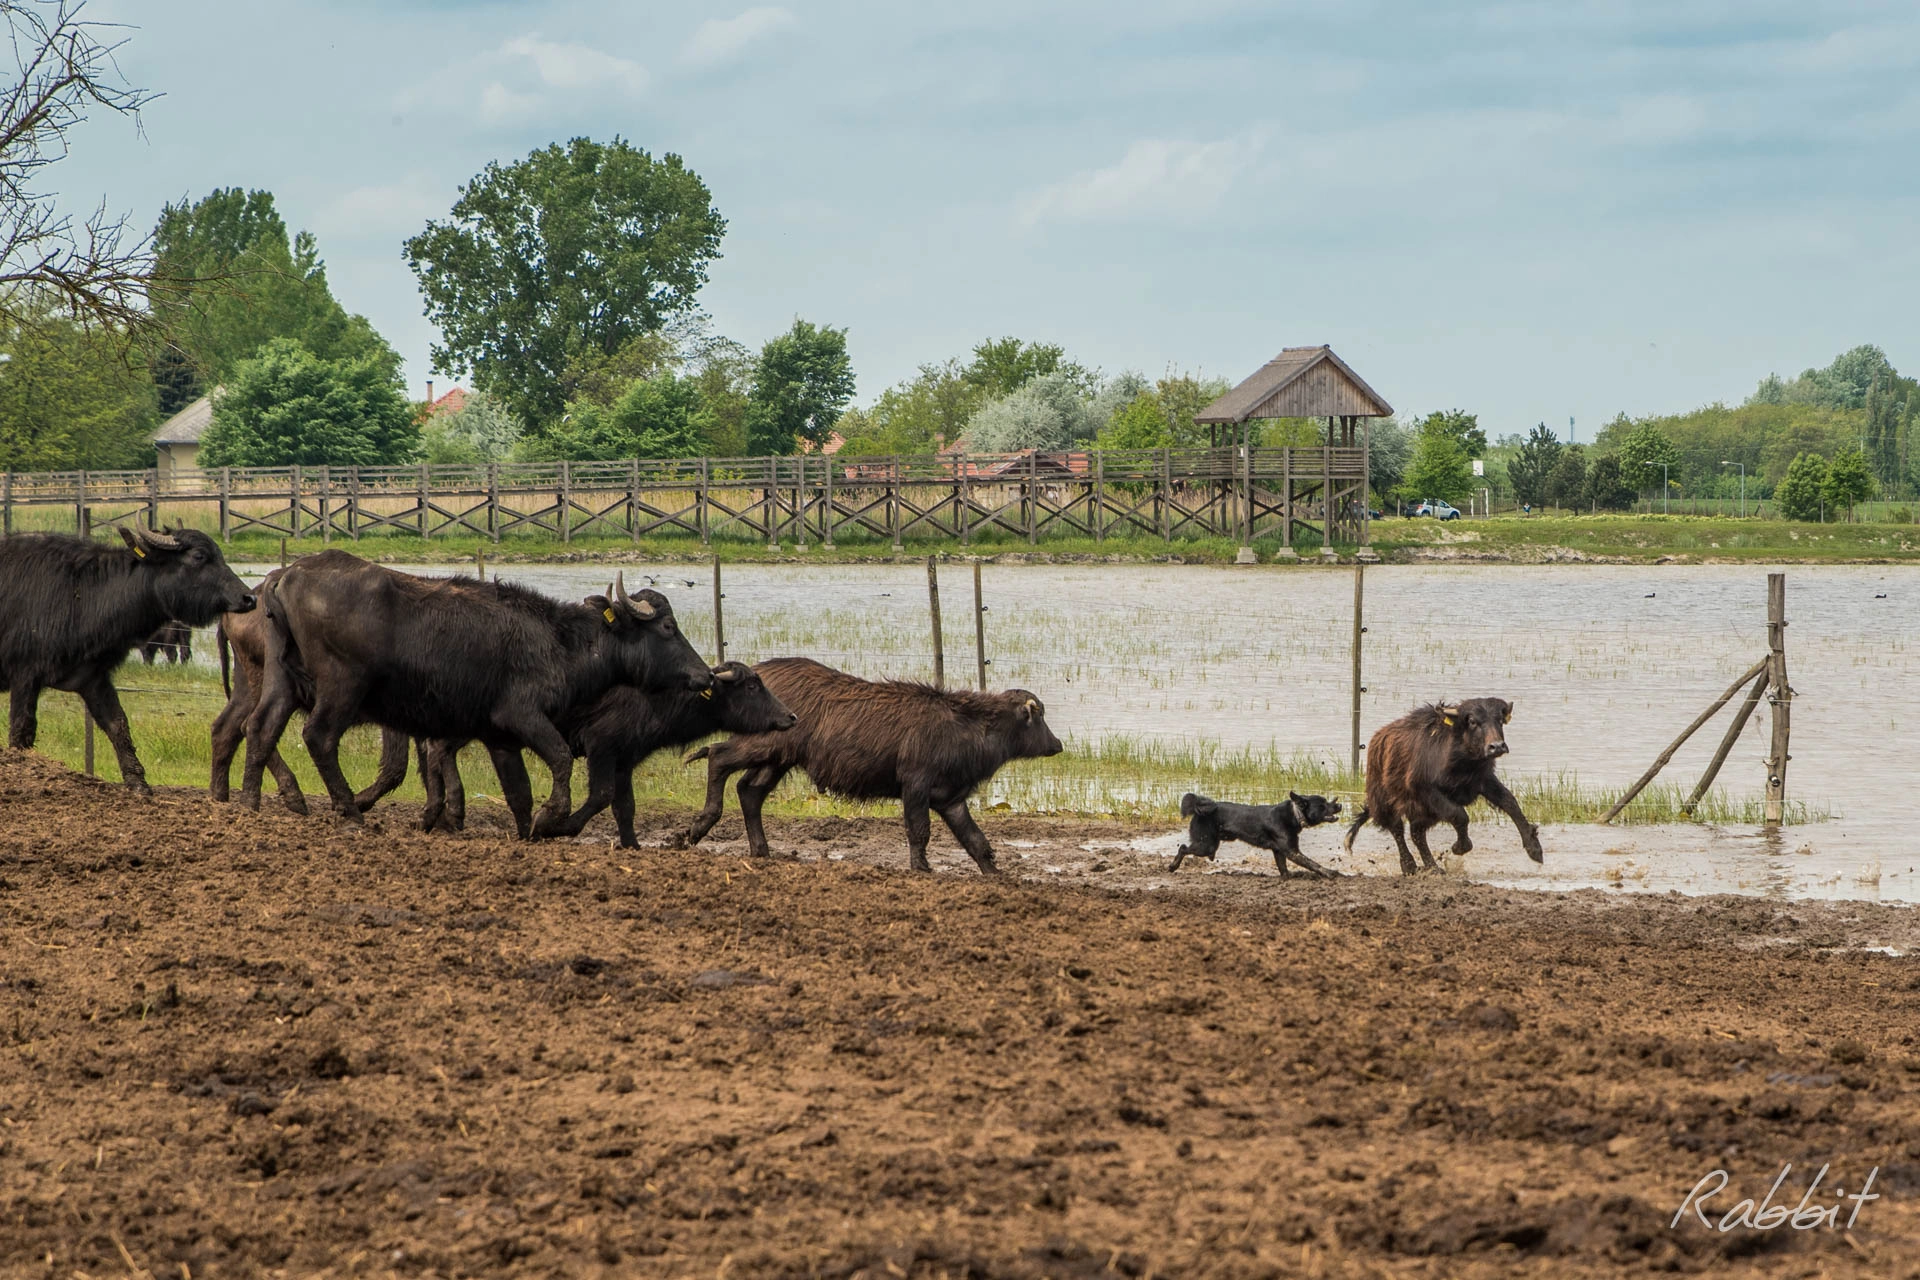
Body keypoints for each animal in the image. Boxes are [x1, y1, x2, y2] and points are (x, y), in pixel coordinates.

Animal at [0, 529, 255, 790]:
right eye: (199, 556)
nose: (248, 597)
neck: (80, 594)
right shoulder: (25, 676)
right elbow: (21, 729)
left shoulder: (93, 679)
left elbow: (118, 725)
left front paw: (138, 782)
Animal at [240, 552, 714, 836]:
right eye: (668, 627)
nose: (706, 675)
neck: (559, 644)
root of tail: (286, 575)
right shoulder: (524, 717)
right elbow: (560, 759)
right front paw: (551, 818)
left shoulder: (500, 739)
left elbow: (519, 795)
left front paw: (527, 833)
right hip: (342, 687)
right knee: (318, 737)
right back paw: (351, 812)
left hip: (281, 681)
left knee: (259, 727)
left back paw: (250, 802)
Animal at [675, 656, 1067, 875]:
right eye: (1039, 715)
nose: (1058, 745)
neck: (965, 727)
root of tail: (757, 671)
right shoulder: (915, 785)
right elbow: (918, 831)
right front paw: (921, 868)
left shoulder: (951, 798)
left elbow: (976, 840)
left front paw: (997, 874)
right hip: (764, 745)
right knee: (718, 756)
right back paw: (696, 828)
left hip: (779, 760)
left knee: (749, 791)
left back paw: (761, 850)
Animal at [1159, 790, 1344, 882]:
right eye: (1322, 805)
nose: (1340, 805)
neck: (1294, 814)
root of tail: (1198, 808)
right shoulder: (1292, 852)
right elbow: (1313, 864)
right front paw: (1330, 873)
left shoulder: (1280, 852)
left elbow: (1283, 868)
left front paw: (1286, 878)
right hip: (1206, 845)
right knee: (1183, 848)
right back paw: (1173, 866)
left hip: (1209, 846)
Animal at [1344, 694, 1551, 875]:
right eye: (1473, 721)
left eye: (1499, 720)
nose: (1497, 746)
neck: (1462, 763)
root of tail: (1377, 741)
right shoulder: (1426, 790)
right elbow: (1459, 815)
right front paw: (1459, 847)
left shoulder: (1484, 781)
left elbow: (1510, 803)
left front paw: (1535, 850)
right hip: (1387, 803)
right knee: (1398, 830)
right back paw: (1410, 866)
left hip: (1423, 812)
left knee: (1417, 834)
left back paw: (1433, 867)